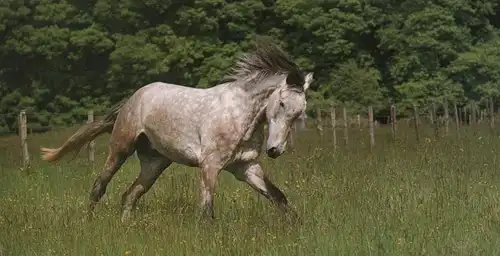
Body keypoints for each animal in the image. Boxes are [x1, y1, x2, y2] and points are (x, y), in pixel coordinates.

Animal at [40, 38, 312, 222]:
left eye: (300, 112)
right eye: (282, 103)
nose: (275, 150)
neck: (239, 115)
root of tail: (132, 98)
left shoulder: (245, 167)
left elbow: (279, 197)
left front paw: (297, 227)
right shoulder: (210, 166)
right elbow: (206, 211)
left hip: (155, 163)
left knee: (130, 195)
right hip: (120, 150)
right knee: (99, 187)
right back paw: (89, 222)